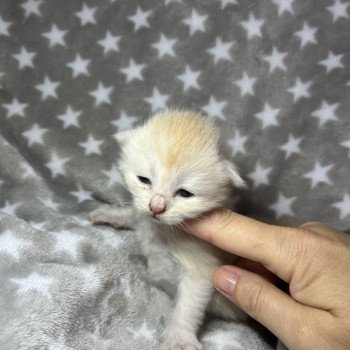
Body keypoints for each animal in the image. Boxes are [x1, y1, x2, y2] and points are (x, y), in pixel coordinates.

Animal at [90, 109, 246, 350]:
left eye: (185, 193)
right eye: (144, 180)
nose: (156, 208)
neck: (163, 229)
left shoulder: (202, 268)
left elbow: (187, 306)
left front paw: (179, 338)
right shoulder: (144, 218)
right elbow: (134, 215)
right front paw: (110, 214)